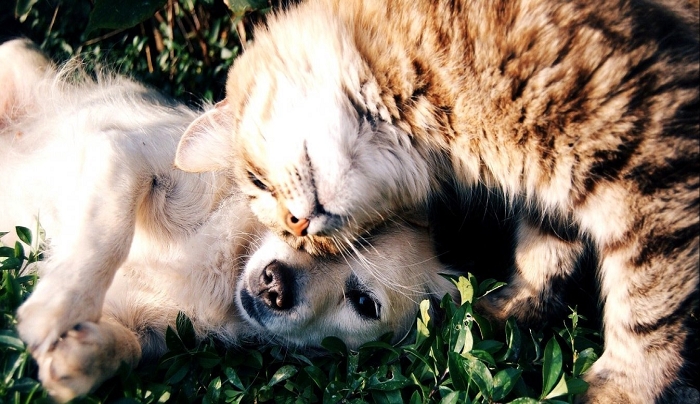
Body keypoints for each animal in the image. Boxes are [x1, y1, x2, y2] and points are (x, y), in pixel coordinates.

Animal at [0, 39, 460, 402]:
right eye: (298, 221)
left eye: (364, 303)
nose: (275, 285)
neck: (228, 263)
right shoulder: (125, 154)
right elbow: (106, 236)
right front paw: (55, 308)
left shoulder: (149, 328)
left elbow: (128, 348)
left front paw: (81, 357)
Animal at [172, 1, 696, 402]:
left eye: (257, 181)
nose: (298, 227)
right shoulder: (555, 184)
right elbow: (543, 254)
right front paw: (505, 312)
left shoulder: (650, 162)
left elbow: (647, 310)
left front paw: (623, 388)